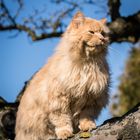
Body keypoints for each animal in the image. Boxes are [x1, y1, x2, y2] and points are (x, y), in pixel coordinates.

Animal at [15, 11, 110, 140]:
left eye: (103, 33)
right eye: (91, 32)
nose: (102, 39)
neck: (87, 64)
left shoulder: (92, 99)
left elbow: (86, 115)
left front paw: (87, 126)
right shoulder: (58, 100)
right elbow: (62, 120)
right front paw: (65, 133)